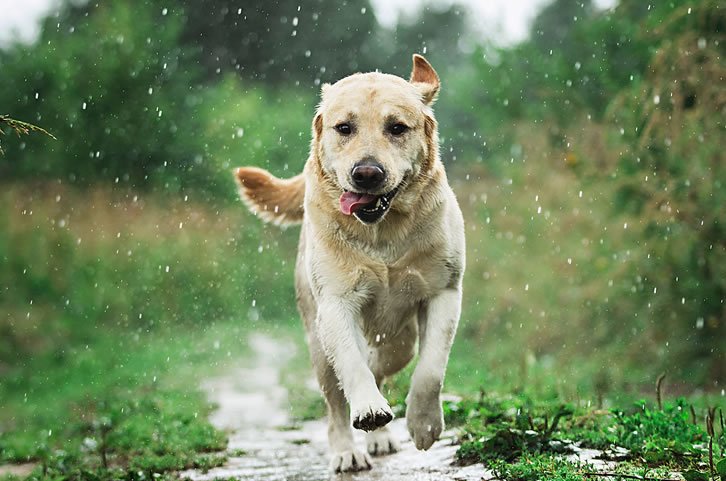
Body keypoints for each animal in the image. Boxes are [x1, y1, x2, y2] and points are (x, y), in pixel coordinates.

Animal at [236, 54, 470, 470]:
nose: (366, 173)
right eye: (344, 128)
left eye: (397, 128)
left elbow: (431, 370)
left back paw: (380, 437)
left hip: (402, 338)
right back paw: (348, 450)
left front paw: (424, 425)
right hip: (317, 343)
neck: (382, 235)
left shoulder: (444, 292)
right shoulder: (335, 304)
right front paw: (369, 410)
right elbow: (352, 365)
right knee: (336, 401)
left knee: (388, 360)